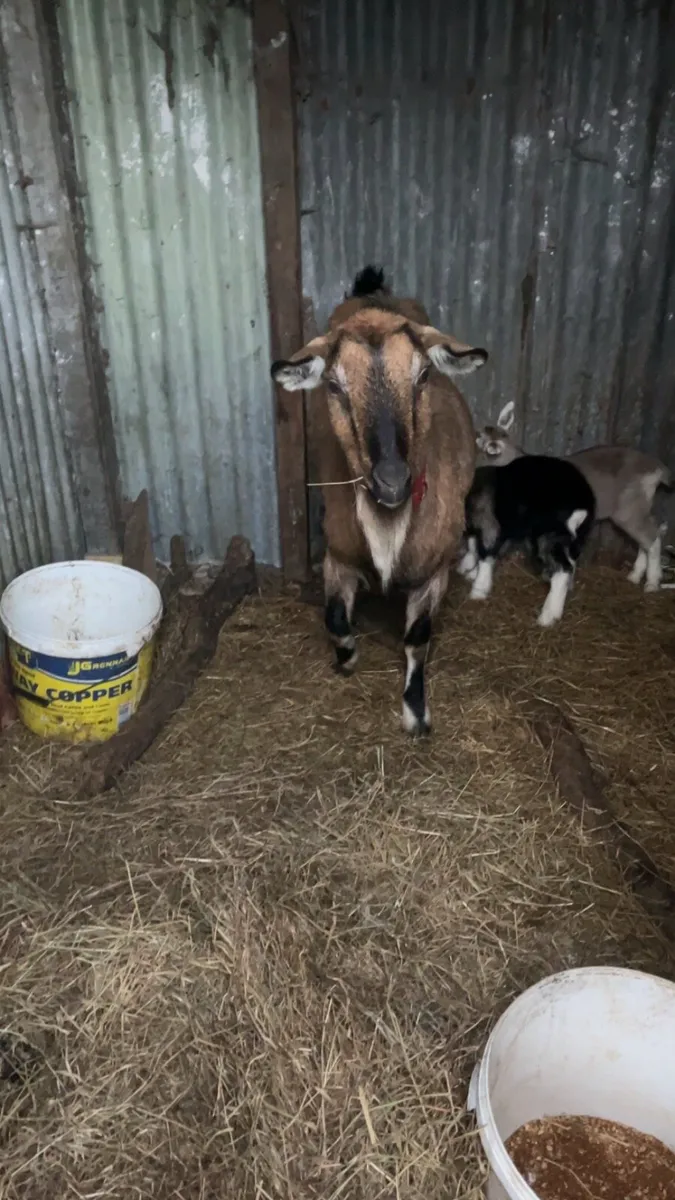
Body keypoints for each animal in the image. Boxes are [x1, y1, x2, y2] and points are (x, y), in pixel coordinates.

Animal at [271, 266, 487, 735]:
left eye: (423, 376)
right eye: (334, 385)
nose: (392, 482)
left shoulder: (434, 570)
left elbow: (417, 639)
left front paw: (416, 713)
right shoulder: (338, 553)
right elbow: (335, 617)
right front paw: (347, 658)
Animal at [463, 455, 596, 626]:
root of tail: (583, 506)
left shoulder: (488, 523)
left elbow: (485, 553)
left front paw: (478, 590)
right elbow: (480, 548)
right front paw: (471, 573)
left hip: (547, 534)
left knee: (563, 568)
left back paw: (548, 616)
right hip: (575, 537)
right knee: (571, 562)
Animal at [476, 401, 671, 592]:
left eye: (502, 435)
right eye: (480, 436)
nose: (491, 445)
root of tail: (658, 468)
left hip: (629, 508)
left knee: (651, 537)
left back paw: (652, 583)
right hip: (640, 505)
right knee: (651, 532)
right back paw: (635, 576)